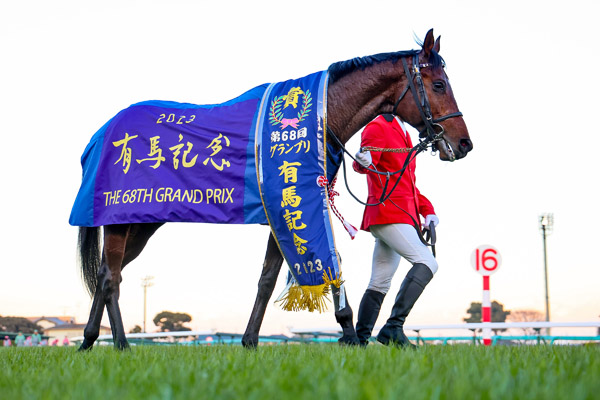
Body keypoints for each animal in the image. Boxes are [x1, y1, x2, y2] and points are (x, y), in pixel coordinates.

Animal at [76, 29, 472, 351]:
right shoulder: (295, 207)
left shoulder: (293, 212)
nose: (464, 143)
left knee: (108, 272)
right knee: (111, 278)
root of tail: (101, 134)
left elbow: (278, 276)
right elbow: (314, 269)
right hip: (121, 219)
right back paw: (122, 345)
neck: (320, 120)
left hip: (140, 222)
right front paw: (343, 332)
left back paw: (89, 340)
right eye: (439, 85)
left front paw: (255, 341)